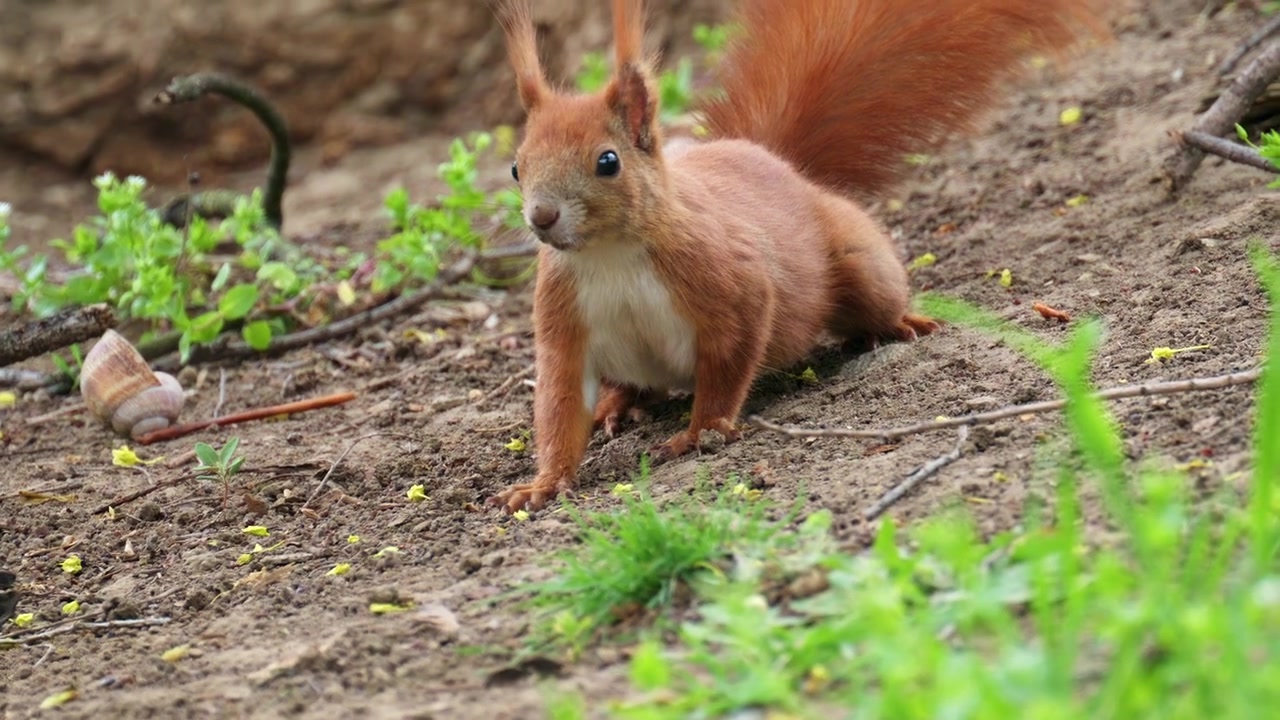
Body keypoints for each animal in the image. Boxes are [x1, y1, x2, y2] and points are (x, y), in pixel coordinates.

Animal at [488, 0, 1104, 513]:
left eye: (608, 161)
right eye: (516, 166)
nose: (541, 217)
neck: (609, 256)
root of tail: (776, 162)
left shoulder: (729, 281)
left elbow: (730, 358)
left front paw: (701, 430)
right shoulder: (563, 320)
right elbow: (560, 405)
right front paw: (542, 485)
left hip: (859, 263)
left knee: (874, 297)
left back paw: (899, 324)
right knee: (628, 384)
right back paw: (618, 404)